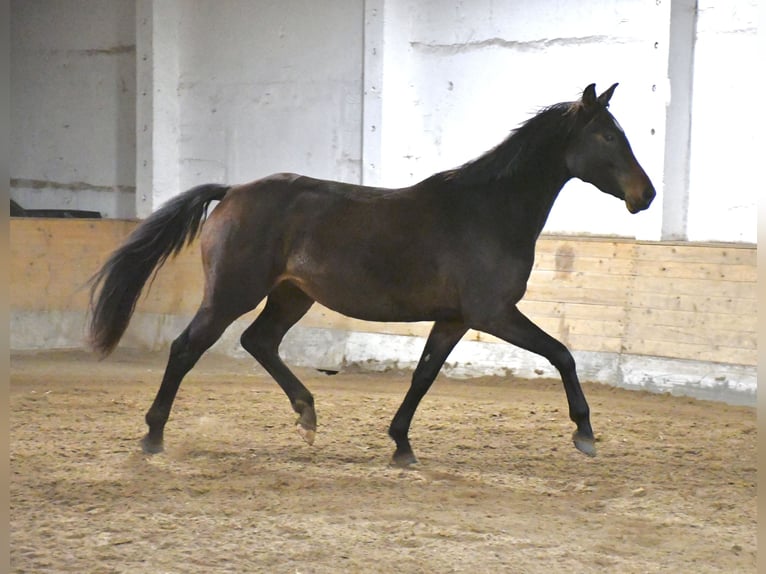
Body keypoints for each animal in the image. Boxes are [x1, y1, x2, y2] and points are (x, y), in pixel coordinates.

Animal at [90, 83, 656, 466]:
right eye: (608, 135)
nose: (646, 196)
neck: (489, 210)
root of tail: (231, 192)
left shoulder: (454, 319)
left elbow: (424, 374)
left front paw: (401, 444)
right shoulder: (493, 313)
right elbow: (562, 354)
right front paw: (585, 433)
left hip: (291, 296)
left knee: (260, 341)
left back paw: (307, 415)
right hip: (232, 294)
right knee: (186, 348)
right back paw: (153, 437)